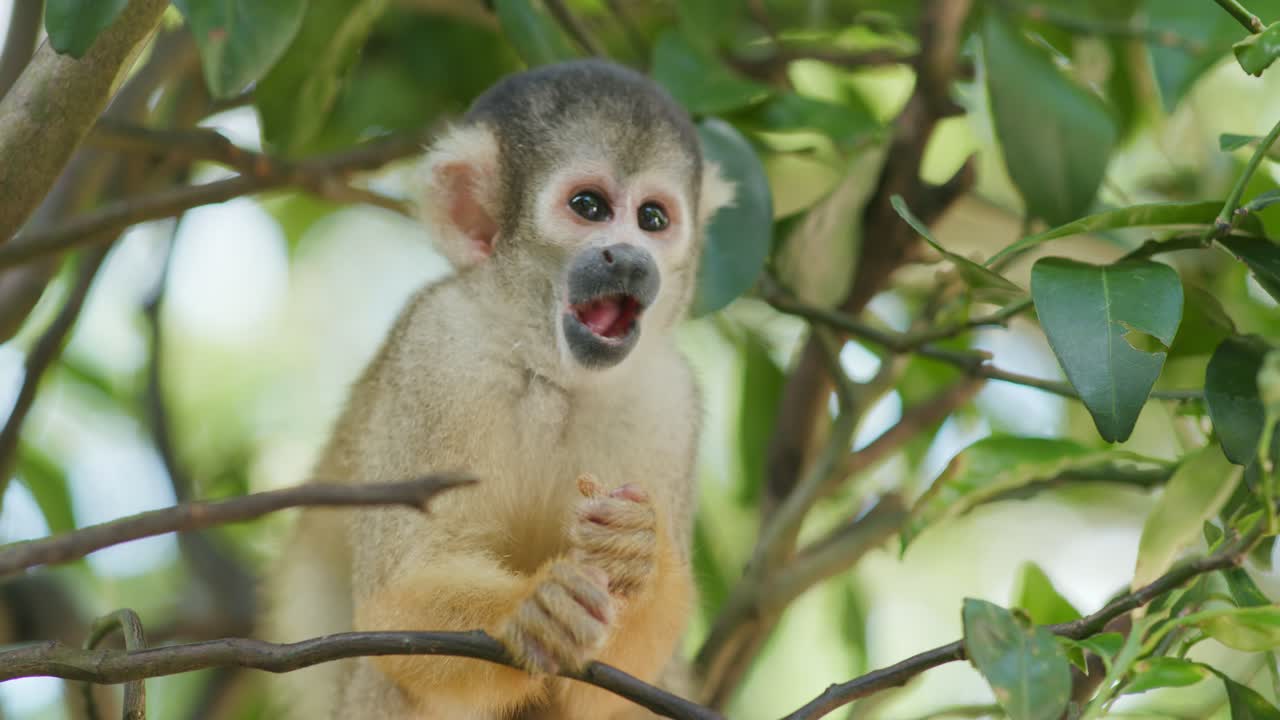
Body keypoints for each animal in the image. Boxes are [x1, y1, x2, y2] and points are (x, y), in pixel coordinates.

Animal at [264, 59, 735, 719]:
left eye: (653, 219)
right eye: (589, 206)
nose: (630, 260)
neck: (550, 370)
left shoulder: (668, 399)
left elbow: (612, 688)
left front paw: (637, 556)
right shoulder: (438, 349)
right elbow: (395, 597)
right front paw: (530, 610)